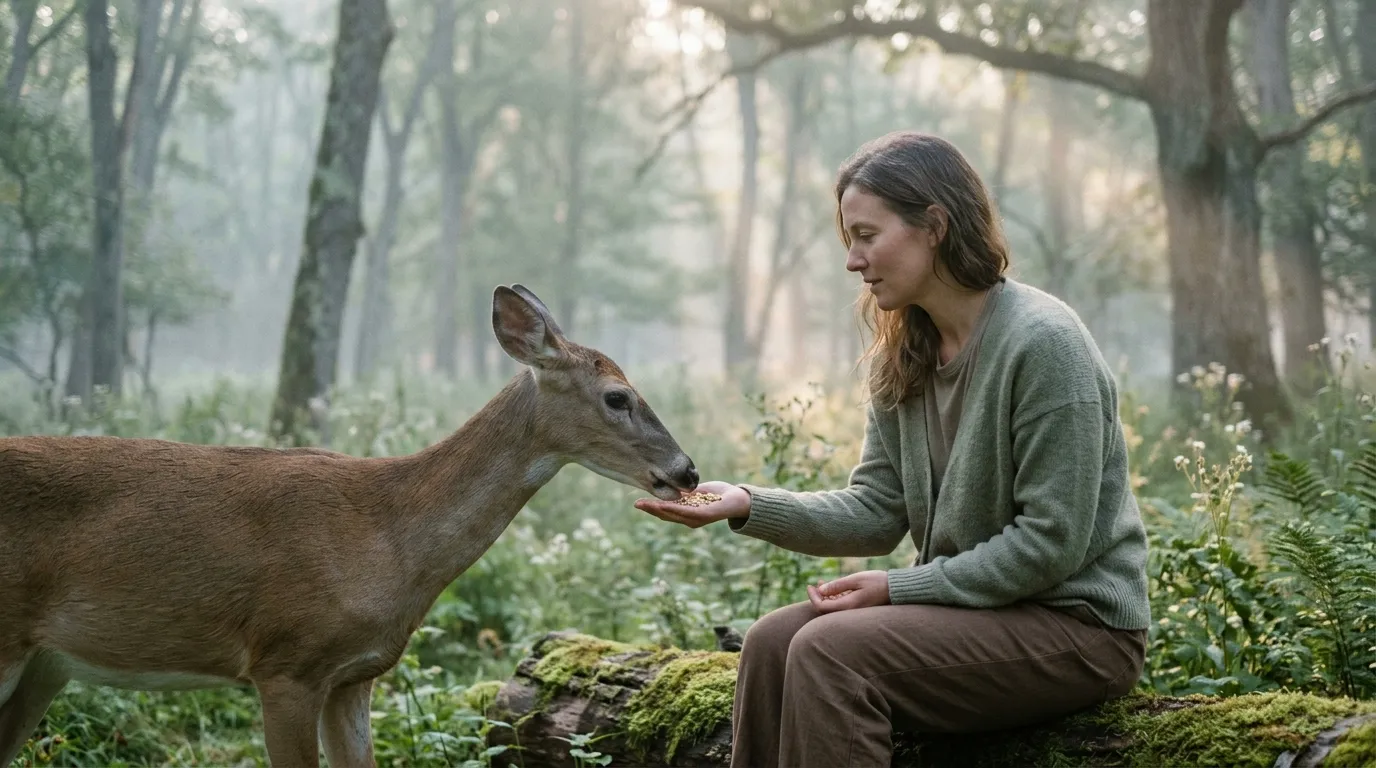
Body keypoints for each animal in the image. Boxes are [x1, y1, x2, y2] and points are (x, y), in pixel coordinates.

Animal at [0, 284, 700, 767]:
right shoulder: (285, 662)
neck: (383, 537)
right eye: (617, 396)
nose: (687, 470)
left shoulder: (353, 676)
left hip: (44, 666)